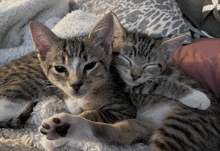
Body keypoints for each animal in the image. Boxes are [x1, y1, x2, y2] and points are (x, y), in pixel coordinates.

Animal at [39, 12, 220, 151]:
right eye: (126, 59)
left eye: (150, 65)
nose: (135, 75)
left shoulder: (129, 92)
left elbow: (159, 82)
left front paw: (196, 97)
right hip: (148, 125)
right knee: (117, 134)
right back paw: (63, 128)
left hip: (182, 125)